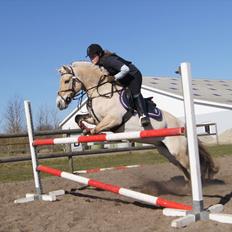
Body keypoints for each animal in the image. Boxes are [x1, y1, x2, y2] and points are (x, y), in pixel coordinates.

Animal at [55, 61, 218, 181]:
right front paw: (84, 129)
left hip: (176, 149)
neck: (100, 91)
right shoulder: (96, 118)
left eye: (66, 80)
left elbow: (97, 129)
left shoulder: (113, 119)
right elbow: (79, 117)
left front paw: (90, 133)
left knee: (189, 165)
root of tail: (182, 125)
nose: (59, 103)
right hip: (165, 151)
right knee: (181, 166)